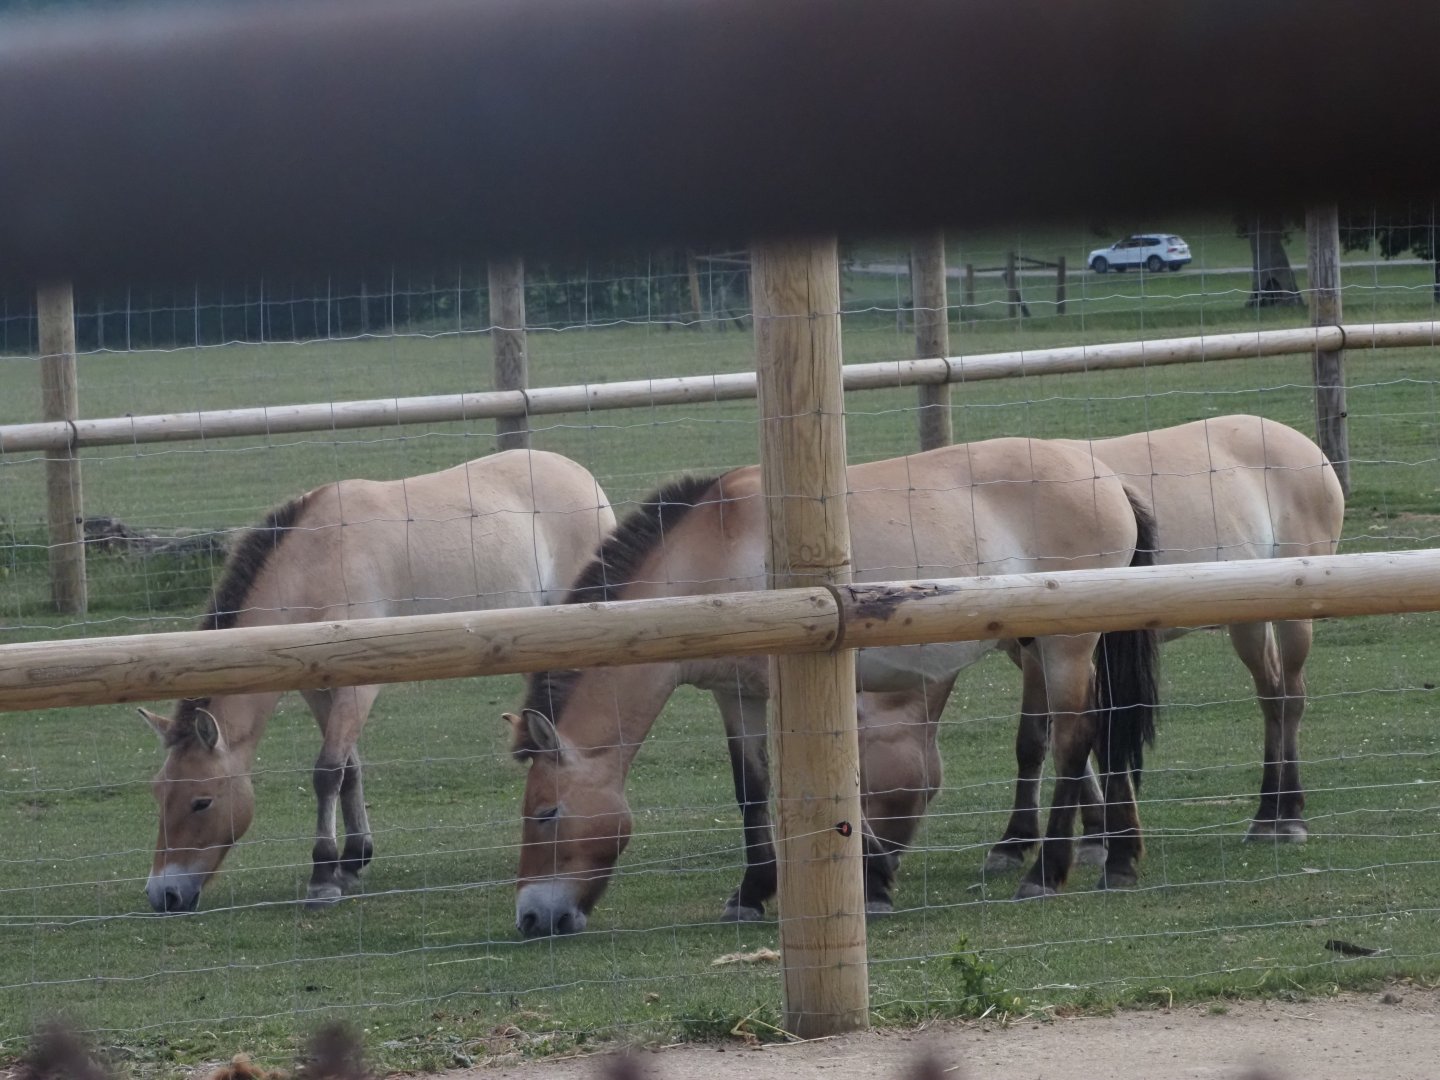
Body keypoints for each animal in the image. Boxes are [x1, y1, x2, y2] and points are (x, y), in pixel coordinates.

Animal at [139, 449, 615, 913]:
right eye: (159, 793)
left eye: (201, 800)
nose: (164, 895)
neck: (314, 563)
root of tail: (581, 475)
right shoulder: (317, 691)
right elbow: (349, 769)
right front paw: (352, 861)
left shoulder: (357, 689)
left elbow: (327, 772)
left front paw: (322, 878)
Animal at [506, 437, 1161, 937]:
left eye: (546, 813)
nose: (534, 917)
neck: (709, 554)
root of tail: (1105, 478)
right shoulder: (737, 696)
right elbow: (752, 791)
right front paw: (753, 891)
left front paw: (873, 882)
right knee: (1102, 733)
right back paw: (1119, 860)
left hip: (1065, 647)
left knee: (1074, 742)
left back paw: (1045, 874)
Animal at [983, 415, 1345, 874]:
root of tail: (1304, 446)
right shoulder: (1035, 652)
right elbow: (1049, 743)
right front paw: (1064, 838)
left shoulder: (1058, 649)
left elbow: (1052, 740)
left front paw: (1037, 841)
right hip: (1248, 620)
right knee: (1273, 697)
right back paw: (1269, 814)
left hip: (1293, 614)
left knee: (1291, 699)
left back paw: (1289, 815)